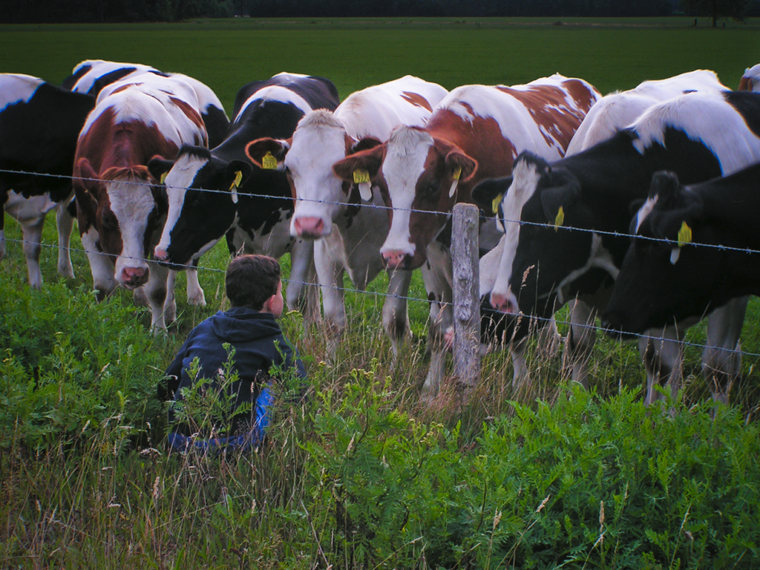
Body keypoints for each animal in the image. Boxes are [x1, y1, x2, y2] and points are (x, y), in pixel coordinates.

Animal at [73, 72, 209, 331]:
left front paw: (158, 330)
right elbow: (103, 286)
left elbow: (157, 289)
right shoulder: (86, 218)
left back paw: (181, 303)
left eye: (153, 216)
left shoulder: (163, 224)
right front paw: (104, 324)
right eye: (107, 218)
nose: (133, 274)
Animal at [147, 72, 340, 321]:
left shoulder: (303, 238)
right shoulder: (236, 237)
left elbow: (296, 297)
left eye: (199, 198)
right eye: (167, 196)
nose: (161, 253)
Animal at [246, 75, 448, 354]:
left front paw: (399, 362)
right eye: (288, 169)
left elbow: (393, 319)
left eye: (338, 168)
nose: (308, 223)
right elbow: (334, 320)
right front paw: (329, 360)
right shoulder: (325, 256)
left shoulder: (400, 257)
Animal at [331, 74, 600, 398]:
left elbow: (514, 324)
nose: (395, 255)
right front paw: (430, 388)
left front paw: (519, 385)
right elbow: (438, 329)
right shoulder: (431, 258)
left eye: (432, 185)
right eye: (382, 187)